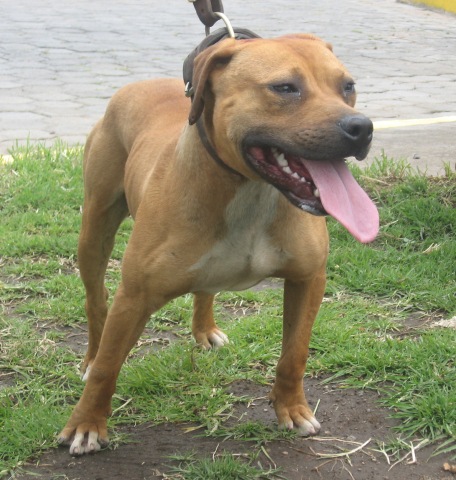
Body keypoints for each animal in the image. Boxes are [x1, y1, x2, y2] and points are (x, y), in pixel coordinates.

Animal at [58, 32, 379, 455]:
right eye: (285, 88)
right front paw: (86, 424)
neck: (252, 189)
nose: (362, 127)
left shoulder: (309, 279)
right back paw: (90, 358)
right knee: (96, 302)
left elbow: (294, 353)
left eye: (348, 86)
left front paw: (292, 409)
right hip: (95, 230)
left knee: (204, 290)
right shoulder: (134, 296)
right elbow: (110, 366)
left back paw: (205, 330)